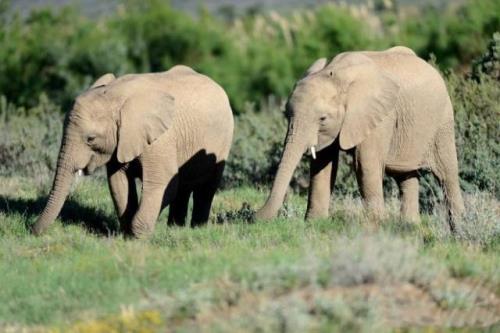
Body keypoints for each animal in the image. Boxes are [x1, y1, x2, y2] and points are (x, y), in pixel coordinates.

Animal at [35, 65, 234, 236]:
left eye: (90, 139)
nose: (32, 229)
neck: (114, 95)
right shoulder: (120, 141)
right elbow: (119, 182)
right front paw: (127, 235)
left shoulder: (161, 140)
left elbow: (162, 183)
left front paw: (137, 237)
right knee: (183, 189)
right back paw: (175, 230)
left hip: (223, 141)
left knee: (206, 189)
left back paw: (197, 229)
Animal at [258, 45, 464, 230]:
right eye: (286, 115)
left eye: (322, 119)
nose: (254, 215)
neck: (337, 75)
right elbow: (323, 164)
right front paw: (314, 224)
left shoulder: (380, 117)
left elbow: (365, 164)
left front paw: (374, 228)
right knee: (405, 176)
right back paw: (410, 227)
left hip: (442, 122)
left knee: (447, 174)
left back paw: (459, 232)